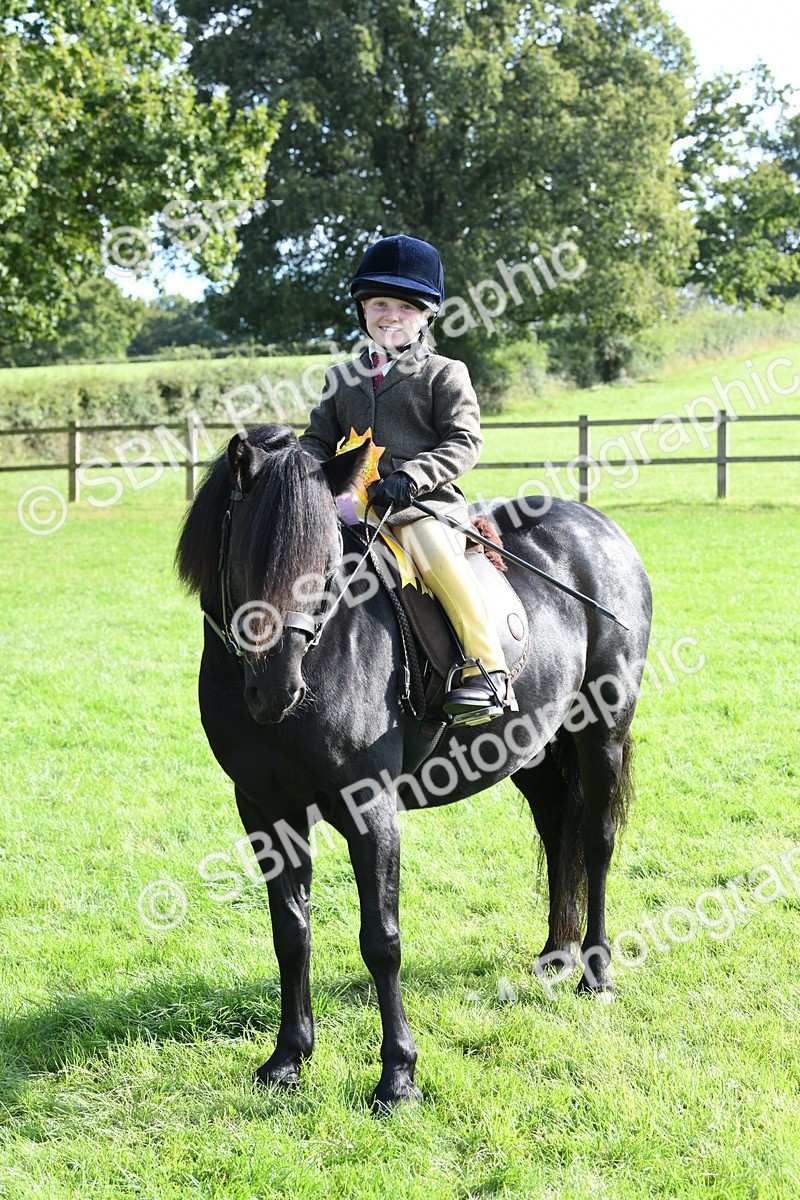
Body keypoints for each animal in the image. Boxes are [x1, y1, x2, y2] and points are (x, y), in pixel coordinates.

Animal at [176, 423, 653, 1111]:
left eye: (326, 561)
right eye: (242, 550)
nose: (275, 688)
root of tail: (602, 530)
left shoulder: (371, 809)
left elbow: (382, 940)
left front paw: (398, 1076)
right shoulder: (266, 812)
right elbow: (290, 933)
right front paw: (288, 1058)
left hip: (602, 730)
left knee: (596, 840)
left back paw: (596, 971)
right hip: (533, 748)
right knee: (559, 831)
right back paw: (557, 956)